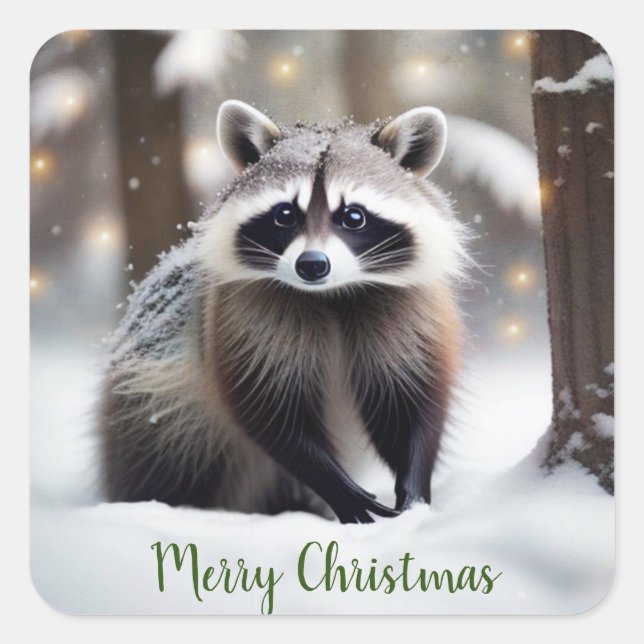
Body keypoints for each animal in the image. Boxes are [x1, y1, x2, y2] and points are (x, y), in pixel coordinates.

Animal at [99, 100, 468, 524]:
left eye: (353, 216)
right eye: (285, 214)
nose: (312, 265)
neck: (331, 295)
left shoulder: (407, 307)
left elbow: (409, 403)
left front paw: (414, 487)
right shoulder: (241, 314)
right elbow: (270, 412)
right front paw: (334, 484)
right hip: (156, 415)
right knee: (166, 463)